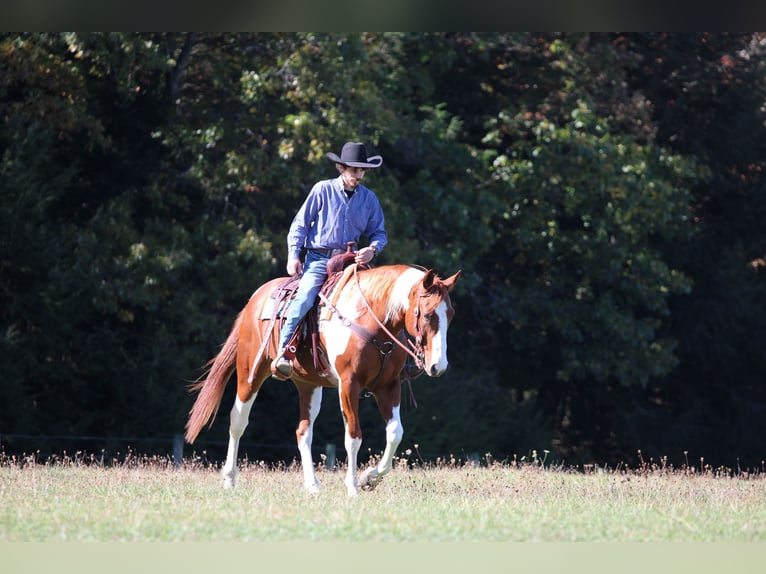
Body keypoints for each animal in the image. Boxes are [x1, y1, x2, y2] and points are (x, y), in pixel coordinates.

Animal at [184, 261, 461, 496]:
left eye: (451, 314)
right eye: (427, 314)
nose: (438, 366)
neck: (369, 318)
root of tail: (256, 298)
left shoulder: (388, 386)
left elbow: (395, 433)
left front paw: (368, 479)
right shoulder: (349, 385)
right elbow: (353, 436)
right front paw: (352, 487)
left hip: (309, 385)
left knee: (303, 431)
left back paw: (313, 485)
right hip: (250, 373)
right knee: (238, 420)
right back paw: (229, 479)